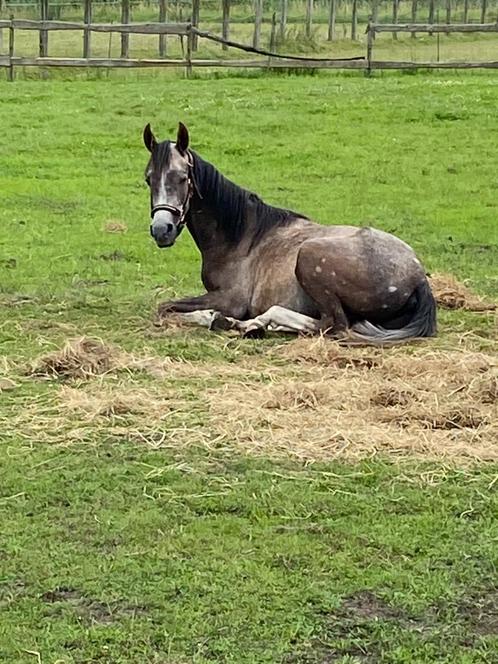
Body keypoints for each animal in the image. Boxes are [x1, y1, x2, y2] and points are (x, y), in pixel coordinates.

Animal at [143, 122, 436, 342]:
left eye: (182, 177)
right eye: (148, 179)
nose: (161, 229)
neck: (241, 237)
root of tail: (417, 276)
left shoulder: (231, 299)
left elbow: (165, 308)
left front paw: (216, 318)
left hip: (310, 257)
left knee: (333, 325)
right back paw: (256, 325)